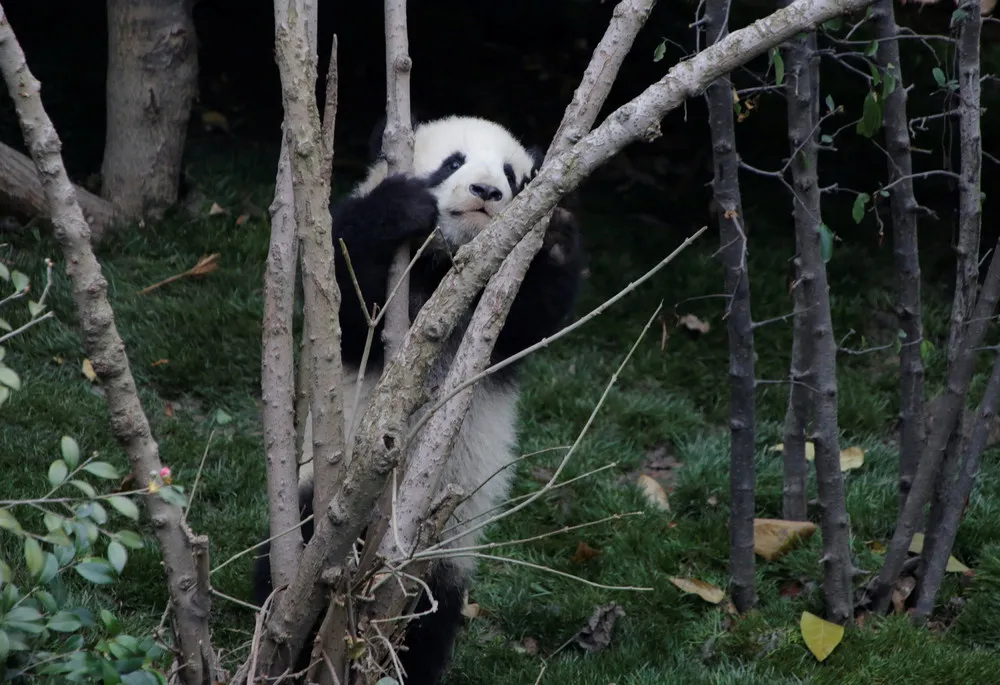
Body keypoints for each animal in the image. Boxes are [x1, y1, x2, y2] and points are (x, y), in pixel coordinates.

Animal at [252, 114, 585, 684]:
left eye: (511, 174)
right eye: (452, 162)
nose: (486, 192)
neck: (446, 267)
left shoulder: (497, 327)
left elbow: (531, 317)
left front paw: (558, 234)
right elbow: (345, 297)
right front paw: (399, 206)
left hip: (443, 547)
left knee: (430, 617)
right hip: (325, 505)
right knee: (295, 564)